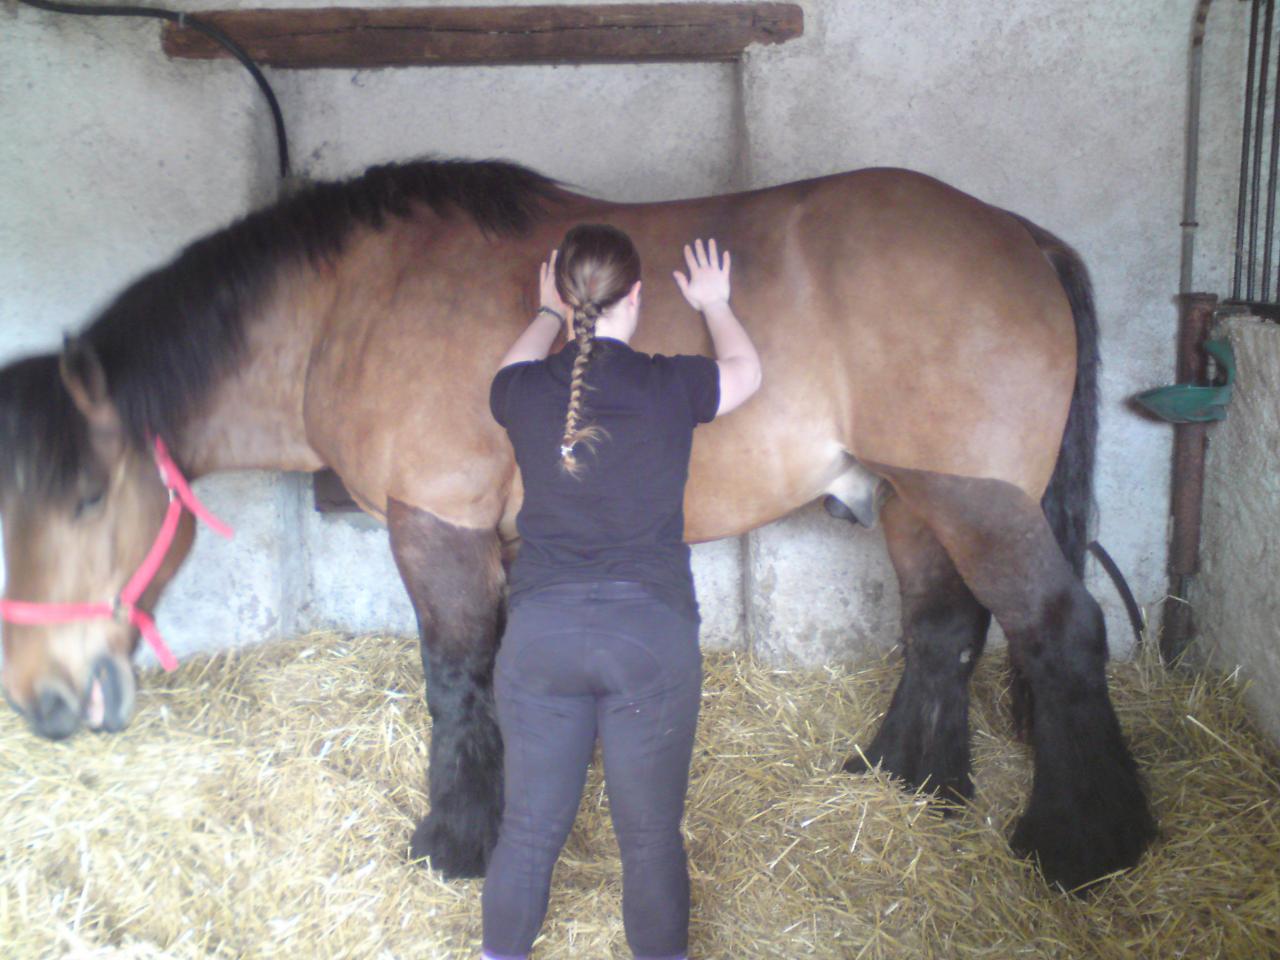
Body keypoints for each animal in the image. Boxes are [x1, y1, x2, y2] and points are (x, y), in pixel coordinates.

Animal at [0, 158, 1157, 885]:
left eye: (89, 496)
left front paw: (455, 843)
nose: (43, 701)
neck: (350, 308)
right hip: (915, 496)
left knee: (1059, 633)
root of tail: (1018, 236)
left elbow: (455, 680)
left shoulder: (437, 528)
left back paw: (1080, 845)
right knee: (940, 630)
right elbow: (504, 678)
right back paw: (906, 782)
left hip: (973, 498)